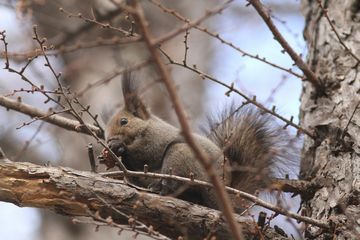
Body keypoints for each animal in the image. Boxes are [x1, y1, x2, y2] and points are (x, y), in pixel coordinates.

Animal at [104, 72, 296, 210]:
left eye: (123, 121)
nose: (110, 138)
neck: (145, 127)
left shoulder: (157, 138)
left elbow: (146, 153)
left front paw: (119, 147)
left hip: (182, 156)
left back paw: (161, 187)